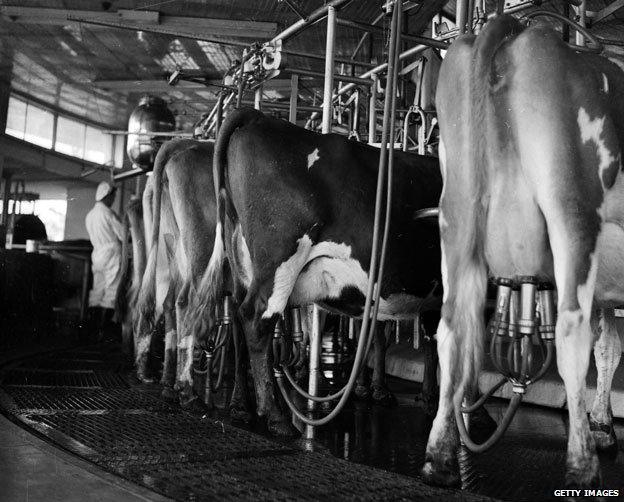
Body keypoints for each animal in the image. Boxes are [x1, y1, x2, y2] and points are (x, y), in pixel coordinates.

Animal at [134, 139, 251, 418]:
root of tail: (182, 144)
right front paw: (243, 404)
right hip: (200, 248)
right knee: (185, 302)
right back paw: (186, 392)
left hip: (171, 249)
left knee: (161, 303)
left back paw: (160, 380)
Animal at [190, 109, 444, 436]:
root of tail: (258, 117)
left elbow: (427, 342)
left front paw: (427, 396)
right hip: (279, 260)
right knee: (256, 319)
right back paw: (277, 417)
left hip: (241, 263)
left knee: (236, 320)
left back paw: (240, 407)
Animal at [422, 14, 624, 490]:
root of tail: (519, 31)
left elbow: (610, 347)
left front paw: (605, 425)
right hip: (571, 207)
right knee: (570, 331)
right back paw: (582, 464)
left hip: (455, 212)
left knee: (450, 330)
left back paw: (440, 456)